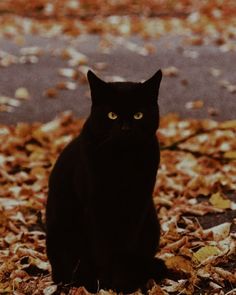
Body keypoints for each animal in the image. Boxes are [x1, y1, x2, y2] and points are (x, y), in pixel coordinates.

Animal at [45, 70, 168, 294]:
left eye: (138, 115)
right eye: (112, 115)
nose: (126, 128)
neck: (122, 163)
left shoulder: (137, 207)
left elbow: (125, 250)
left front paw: (122, 283)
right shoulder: (96, 209)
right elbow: (103, 251)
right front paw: (106, 284)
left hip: (151, 223)